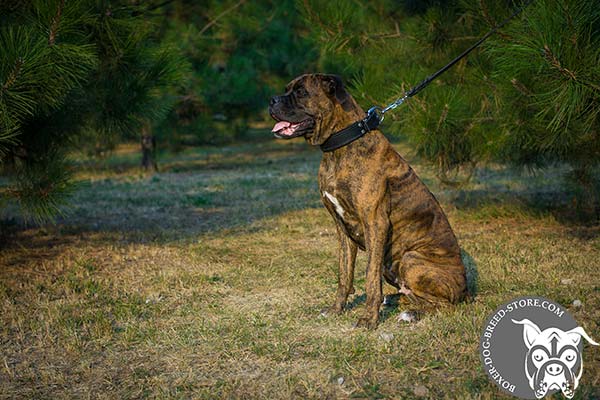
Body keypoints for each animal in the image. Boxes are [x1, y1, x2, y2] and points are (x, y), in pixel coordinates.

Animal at [268, 74, 468, 328]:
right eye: (287, 89)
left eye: (301, 92)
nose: (272, 100)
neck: (340, 147)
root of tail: (467, 290)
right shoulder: (342, 229)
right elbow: (344, 275)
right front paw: (336, 309)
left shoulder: (375, 224)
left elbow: (370, 276)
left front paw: (368, 319)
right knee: (411, 294)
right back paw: (393, 301)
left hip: (411, 258)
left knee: (444, 304)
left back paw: (411, 313)